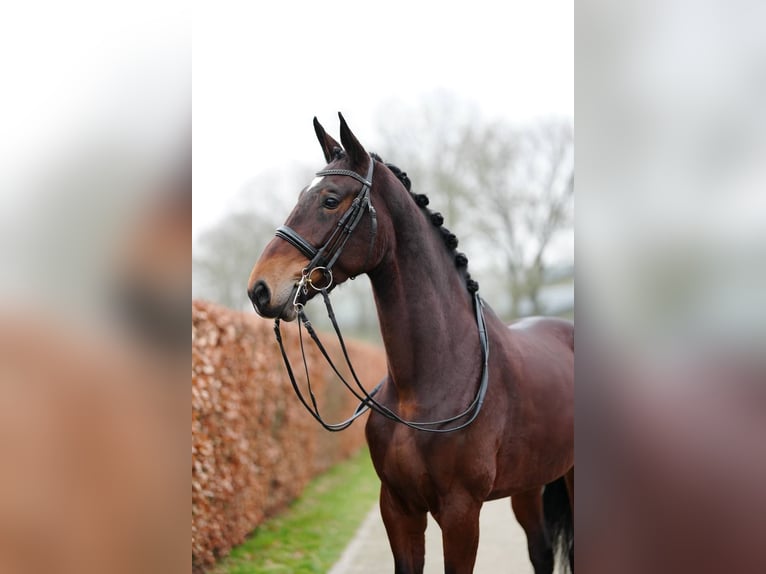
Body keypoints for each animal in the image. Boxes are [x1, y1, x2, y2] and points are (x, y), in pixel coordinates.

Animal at [247, 113, 574, 574]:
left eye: (330, 199)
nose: (260, 289)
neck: (427, 384)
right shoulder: (398, 508)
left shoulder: (460, 513)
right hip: (529, 485)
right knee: (541, 551)